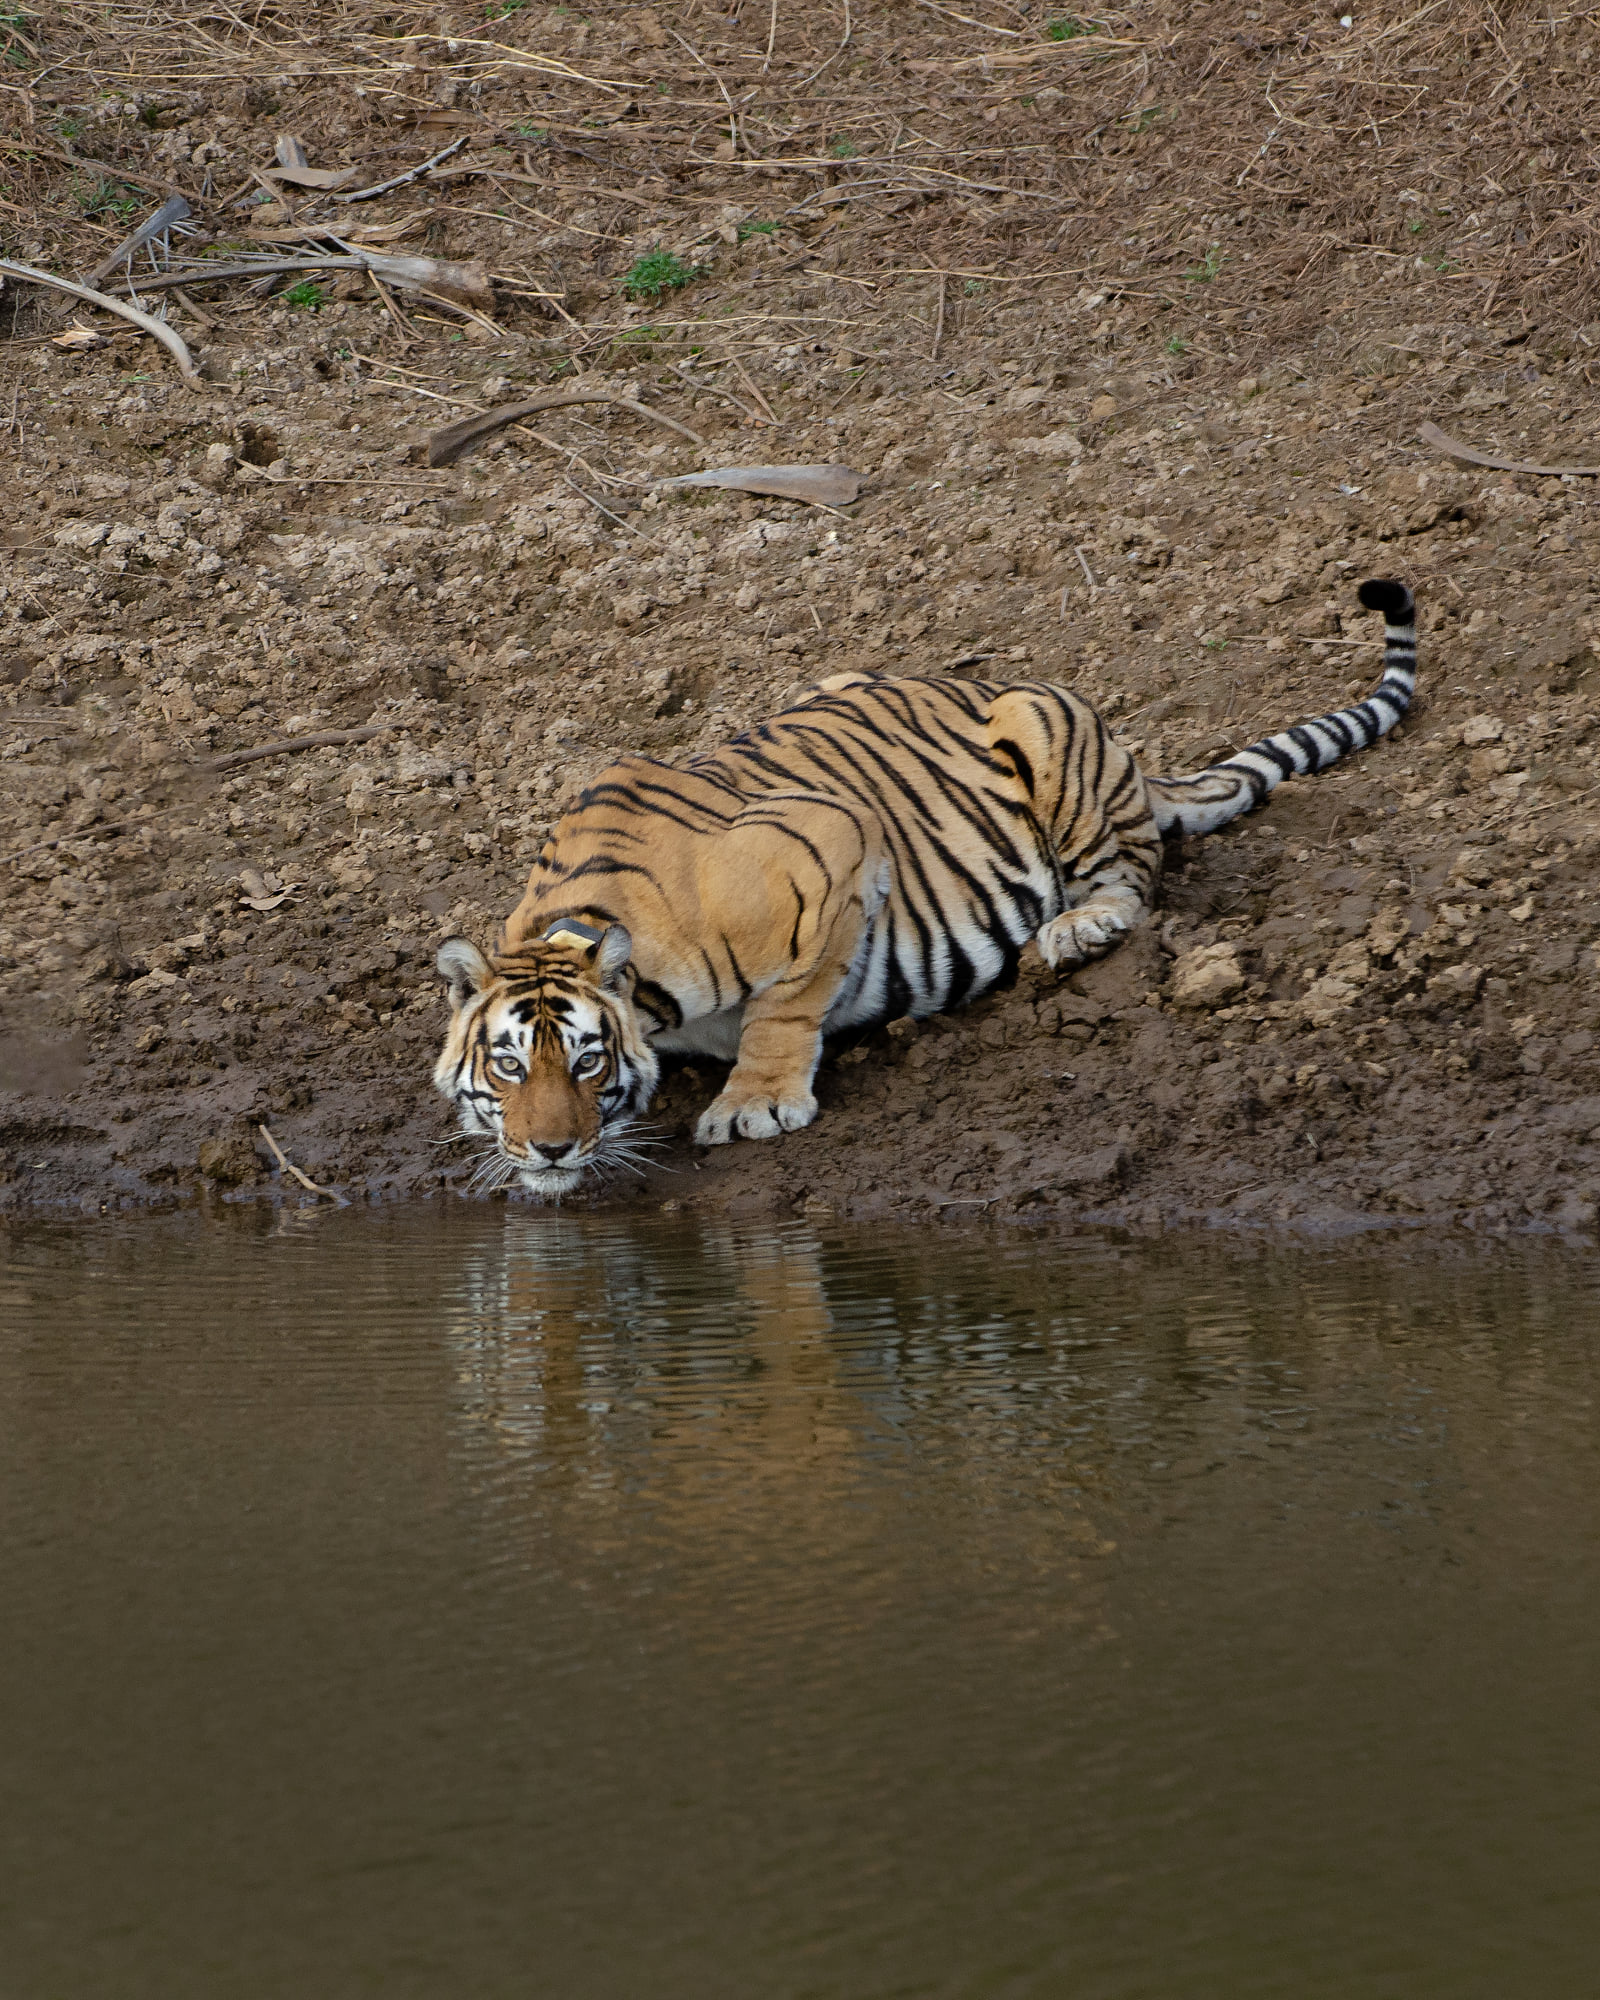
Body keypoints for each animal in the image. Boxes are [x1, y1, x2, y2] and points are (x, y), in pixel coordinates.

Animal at [434, 577, 1416, 1198]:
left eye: (588, 1061)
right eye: (510, 1065)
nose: (551, 1148)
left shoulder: (830, 845)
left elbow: (789, 1003)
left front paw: (755, 1103)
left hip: (1051, 734)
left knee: (1132, 877)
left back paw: (1080, 929)